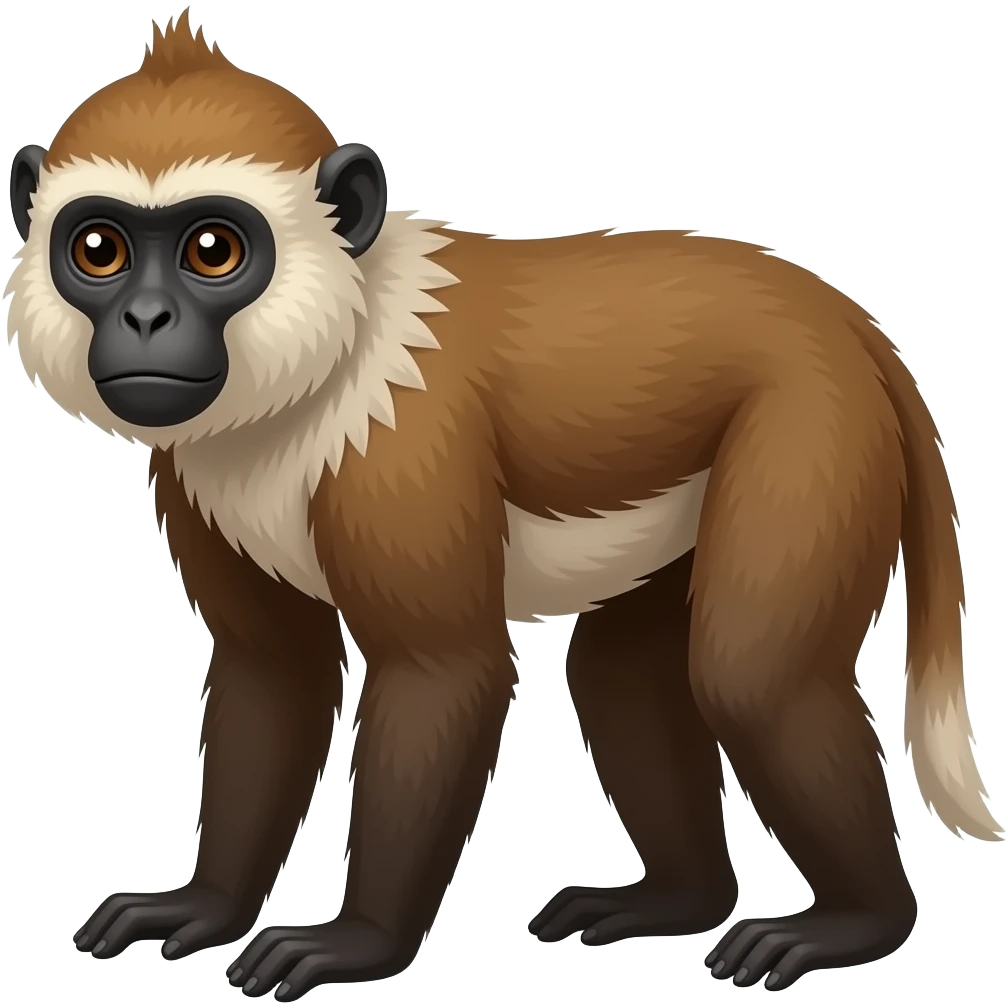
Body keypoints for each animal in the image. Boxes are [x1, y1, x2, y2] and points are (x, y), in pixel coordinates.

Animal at [5, 10, 995, 1002]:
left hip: (813, 431)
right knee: (621, 674)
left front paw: (359, 941)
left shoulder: (404, 446)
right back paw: (683, 899)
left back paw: (861, 921)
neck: (328, 356)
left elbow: (442, 673)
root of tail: (849, 322)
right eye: (100, 251)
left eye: (213, 250)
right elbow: (271, 672)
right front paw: (208, 905)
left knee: (753, 676)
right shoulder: (193, 468)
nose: (145, 321)